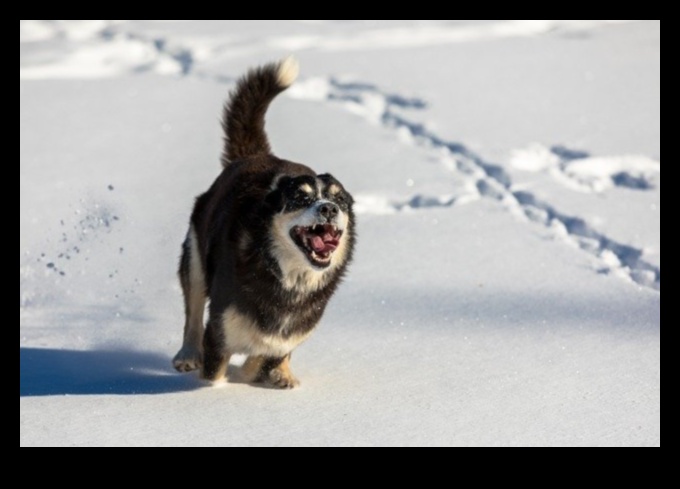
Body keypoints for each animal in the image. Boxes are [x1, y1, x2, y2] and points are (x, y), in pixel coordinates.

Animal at [171, 57, 356, 386]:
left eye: (341, 200)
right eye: (301, 198)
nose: (329, 209)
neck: (288, 278)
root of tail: (254, 156)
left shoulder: (290, 332)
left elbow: (267, 354)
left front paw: (264, 372)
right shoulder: (219, 331)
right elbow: (216, 370)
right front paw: (217, 387)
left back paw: (283, 374)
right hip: (195, 258)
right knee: (192, 313)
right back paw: (187, 354)